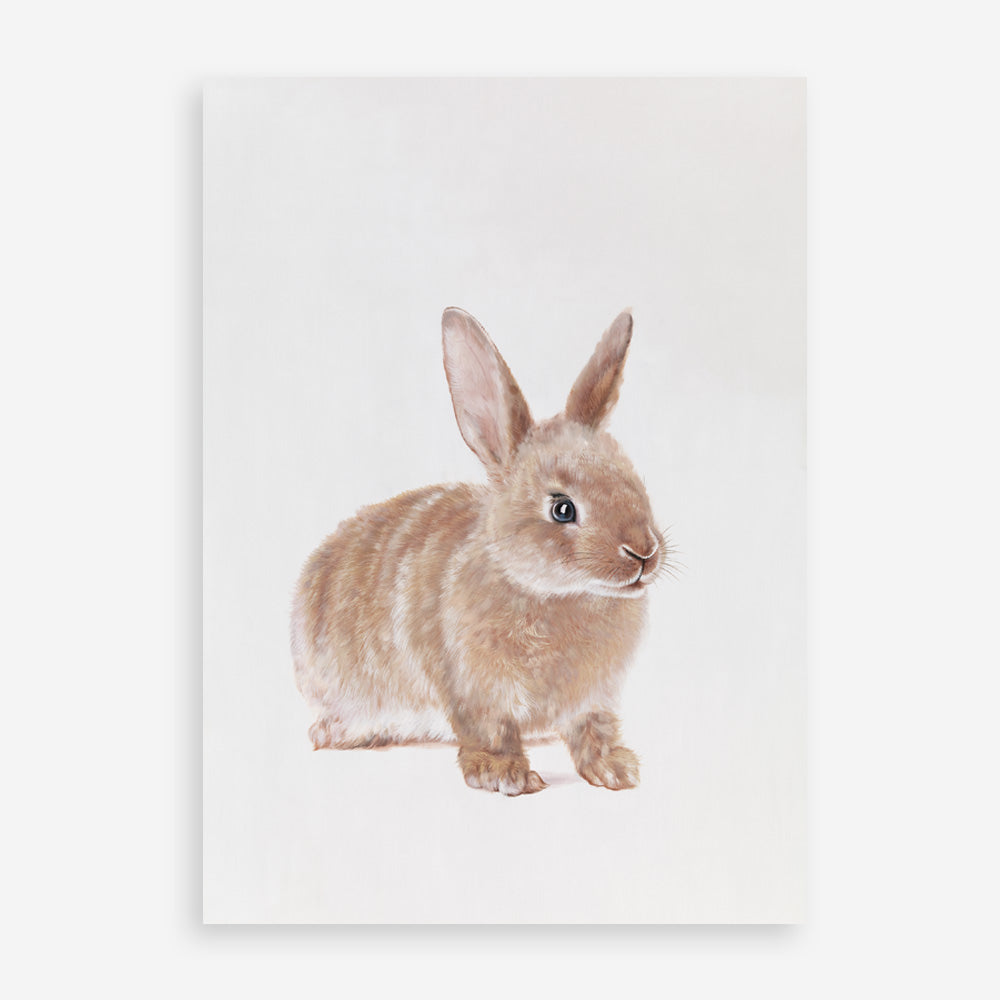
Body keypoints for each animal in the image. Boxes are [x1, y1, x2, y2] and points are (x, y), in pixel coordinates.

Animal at [291, 307, 668, 795]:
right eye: (562, 508)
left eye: (635, 482)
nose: (643, 553)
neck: (552, 592)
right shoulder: (476, 689)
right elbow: (491, 731)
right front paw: (505, 775)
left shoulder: (593, 700)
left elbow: (594, 730)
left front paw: (616, 770)